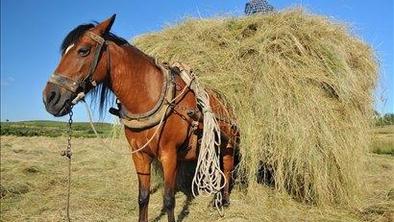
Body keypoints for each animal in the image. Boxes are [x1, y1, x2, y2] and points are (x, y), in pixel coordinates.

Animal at [43, 14, 240, 221]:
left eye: (83, 50)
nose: (50, 97)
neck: (149, 97)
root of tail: (226, 103)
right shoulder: (139, 155)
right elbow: (143, 196)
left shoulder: (169, 155)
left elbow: (169, 200)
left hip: (228, 144)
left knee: (227, 167)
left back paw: (224, 201)